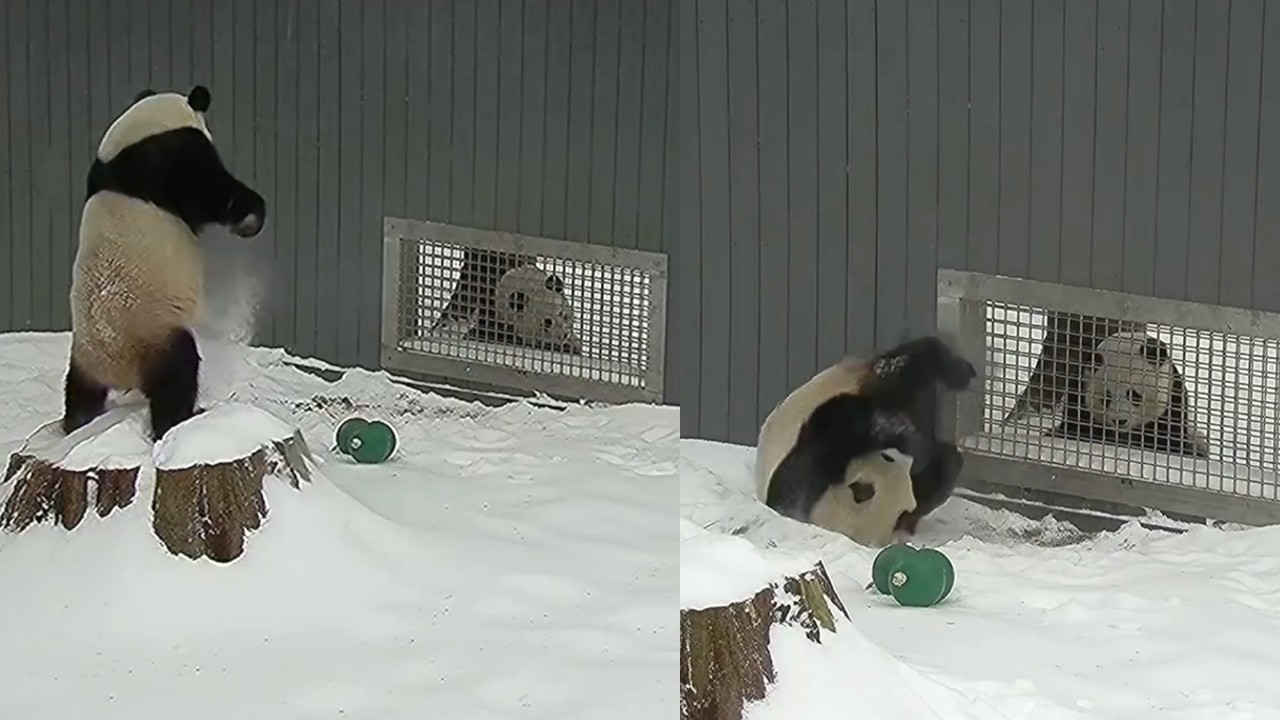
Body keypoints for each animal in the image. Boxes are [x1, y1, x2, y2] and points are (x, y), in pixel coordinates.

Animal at [62, 85, 267, 442]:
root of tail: (115, 370)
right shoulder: (173, 161)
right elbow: (212, 192)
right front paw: (252, 217)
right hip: (153, 333)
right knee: (177, 374)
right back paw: (179, 421)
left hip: (84, 355)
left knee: (79, 391)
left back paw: (75, 423)